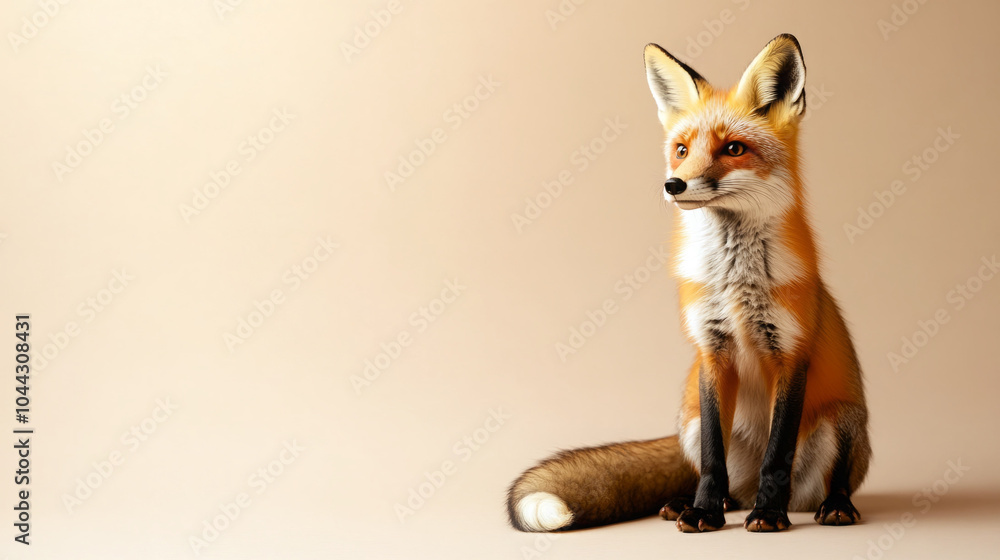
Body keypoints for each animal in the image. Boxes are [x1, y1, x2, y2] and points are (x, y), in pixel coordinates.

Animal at [506, 34, 871, 533]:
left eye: (734, 149)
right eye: (681, 148)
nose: (673, 184)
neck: (735, 283)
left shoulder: (791, 355)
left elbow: (777, 454)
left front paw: (769, 513)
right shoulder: (711, 352)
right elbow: (714, 458)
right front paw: (703, 511)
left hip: (843, 421)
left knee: (828, 482)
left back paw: (831, 506)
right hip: (690, 418)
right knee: (722, 481)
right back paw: (698, 503)